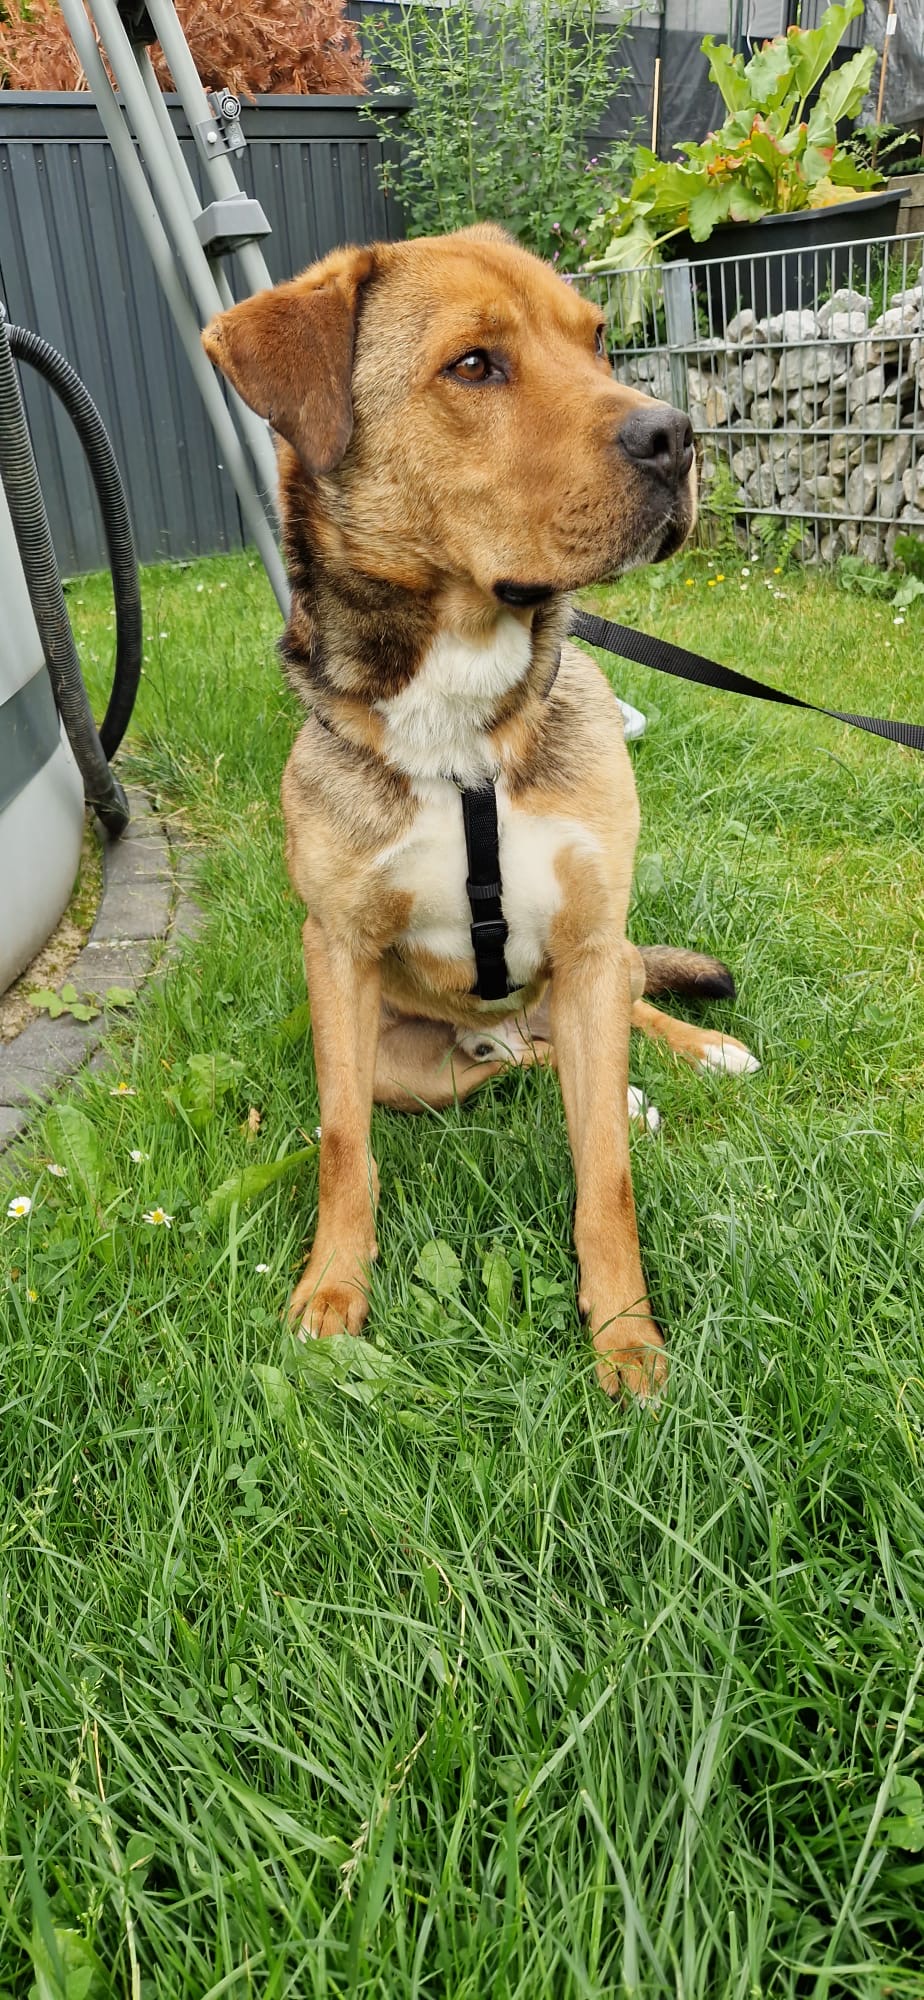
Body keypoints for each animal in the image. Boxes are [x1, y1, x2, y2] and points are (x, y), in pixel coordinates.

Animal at [202, 225, 758, 1399]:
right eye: (473, 365)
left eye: (595, 339)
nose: (678, 437)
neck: (461, 724)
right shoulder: (338, 954)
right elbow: (341, 1145)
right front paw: (333, 1292)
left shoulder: (590, 942)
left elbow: (605, 1175)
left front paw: (625, 1339)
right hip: (412, 1061)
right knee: (517, 1063)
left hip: (602, 968)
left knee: (627, 1011)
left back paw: (691, 1053)